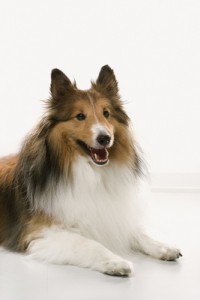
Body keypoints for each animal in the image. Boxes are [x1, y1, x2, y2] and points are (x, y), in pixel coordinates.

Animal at [0, 66, 181, 276]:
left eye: (106, 113)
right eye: (80, 116)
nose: (105, 138)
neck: (91, 173)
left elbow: (137, 232)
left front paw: (163, 247)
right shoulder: (41, 232)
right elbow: (88, 244)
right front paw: (116, 261)